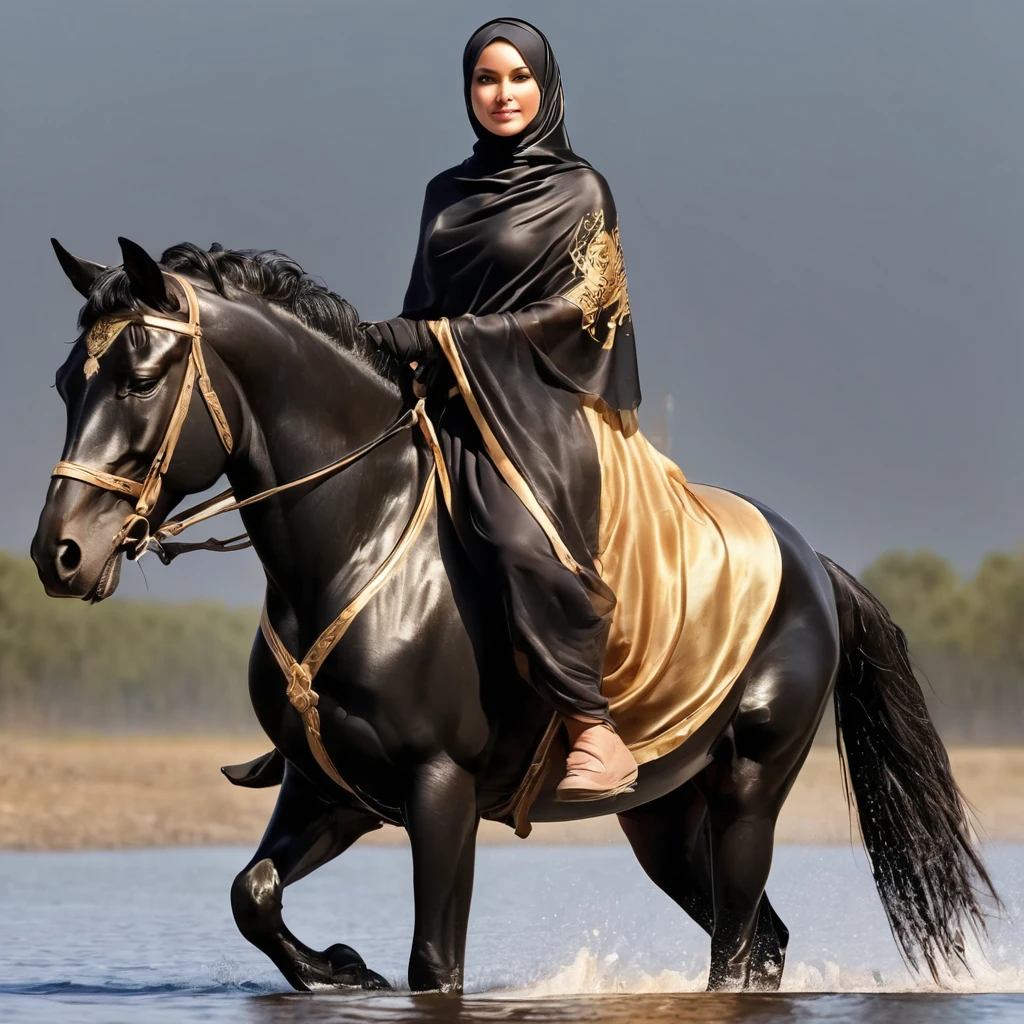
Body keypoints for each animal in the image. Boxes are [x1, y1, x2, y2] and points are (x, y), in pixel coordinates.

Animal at [34, 237, 999, 991]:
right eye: (66, 381)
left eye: (140, 380)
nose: (60, 553)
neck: (355, 544)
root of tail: (810, 562)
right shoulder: (329, 789)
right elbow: (253, 896)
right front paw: (342, 967)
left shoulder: (440, 785)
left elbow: (435, 965)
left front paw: (358, 967)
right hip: (662, 814)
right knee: (762, 936)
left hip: (748, 789)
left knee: (735, 948)